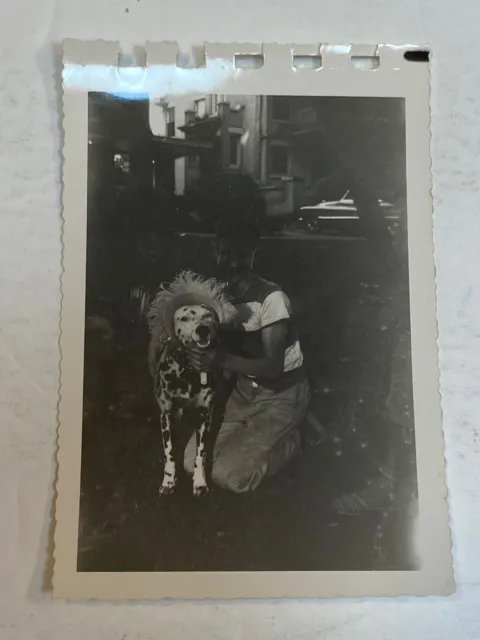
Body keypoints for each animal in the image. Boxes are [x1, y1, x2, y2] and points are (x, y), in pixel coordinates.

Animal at [146, 270, 236, 496]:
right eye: (185, 318)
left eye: (208, 316)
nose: (203, 330)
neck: (188, 373)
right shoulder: (166, 414)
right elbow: (169, 451)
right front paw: (168, 481)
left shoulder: (205, 416)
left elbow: (200, 454)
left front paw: (200, 482)